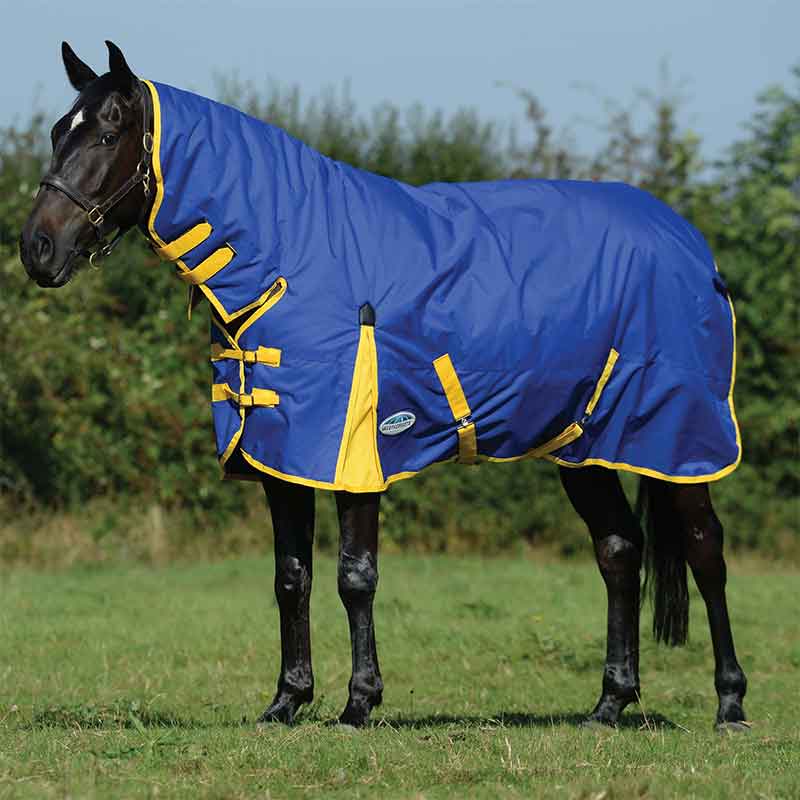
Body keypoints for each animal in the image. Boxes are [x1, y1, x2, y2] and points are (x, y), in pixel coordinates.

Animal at [18, 42, 752, 732]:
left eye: (108, 132)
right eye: (57, 131)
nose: (37, 249)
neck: (290, 260)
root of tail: (691, 245)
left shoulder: (354, 451)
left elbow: (356, 577)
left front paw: (357, 703)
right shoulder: (284, 456)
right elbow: (292, 578)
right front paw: (286, 702)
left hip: (678, 437)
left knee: (705, 551)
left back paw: (729, 704)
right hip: (585, 443)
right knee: (620, 551)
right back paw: (609, 704)